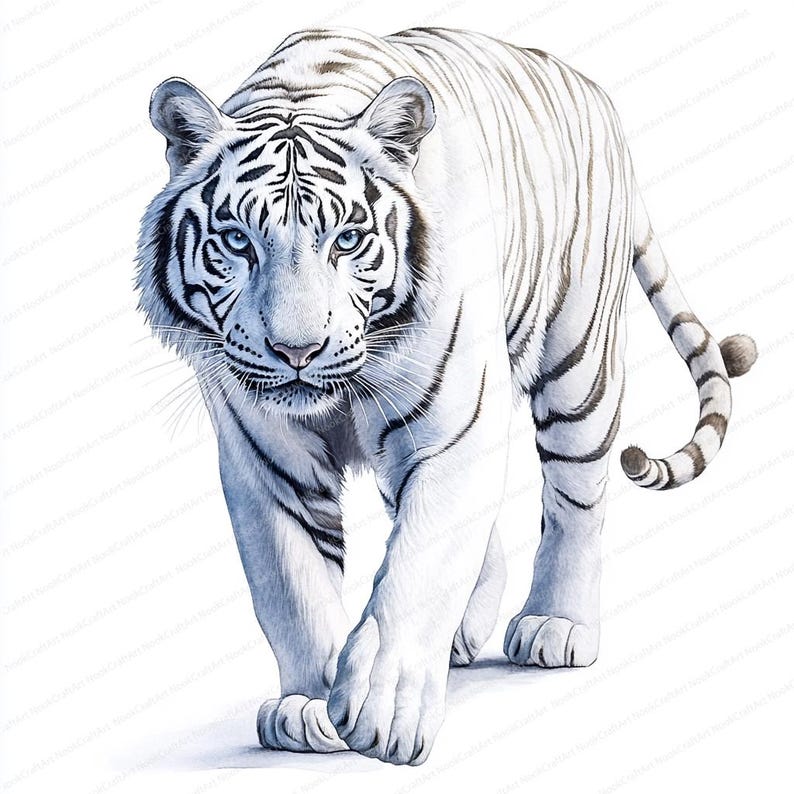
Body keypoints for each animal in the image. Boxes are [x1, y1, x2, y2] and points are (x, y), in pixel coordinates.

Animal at [136, 26, 757, 765]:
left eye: (348, 239)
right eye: (236, 240)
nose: (297, 352)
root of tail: (590, 90)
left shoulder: (456, 422)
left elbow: (421, 561)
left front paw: (383, 712)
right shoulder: (265, 456)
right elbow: (293, 586)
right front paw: (308, 707)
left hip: (578, 362)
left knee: (576, 500)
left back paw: (555, 624)